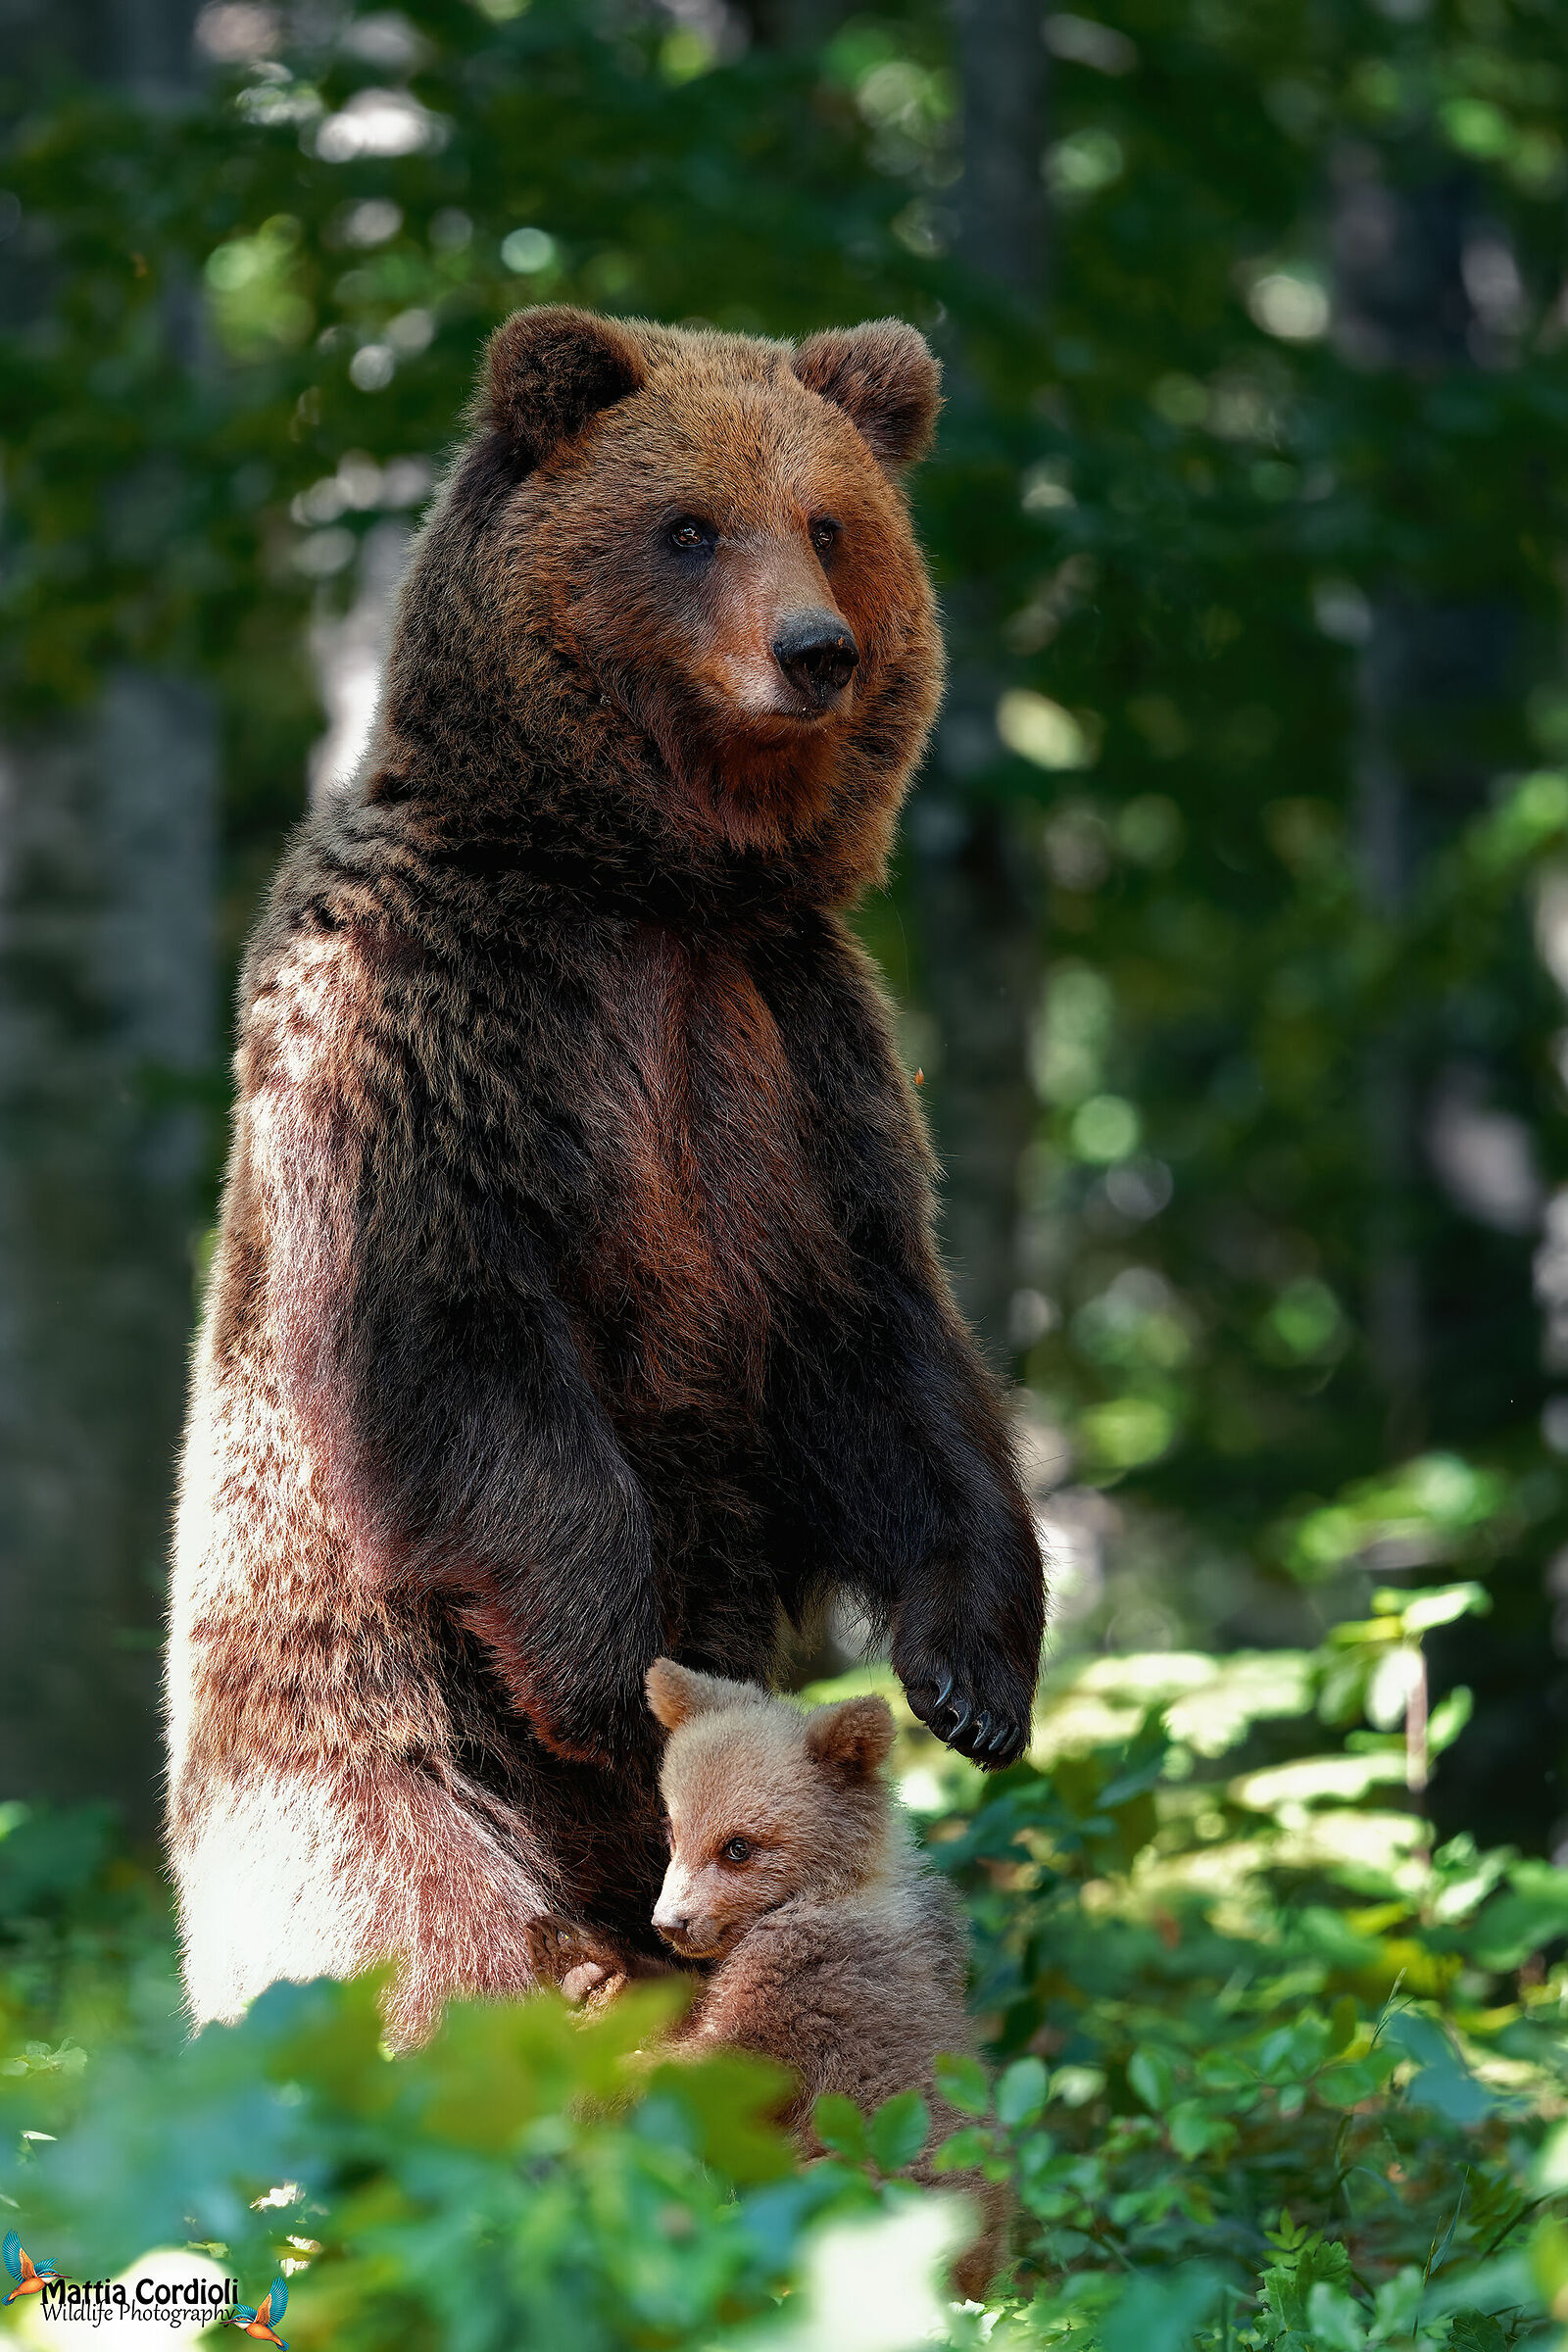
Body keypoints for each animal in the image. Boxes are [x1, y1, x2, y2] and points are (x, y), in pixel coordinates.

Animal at [165, 304, 1046, 2050]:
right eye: (688, 524)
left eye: (828, 522)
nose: (816, 650)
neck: (651, 883)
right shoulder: (447, 1017)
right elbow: (461, 1342)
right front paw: (602, 1669)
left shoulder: (794, 1051)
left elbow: (887, 1344)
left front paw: (973, 1674)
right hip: (354, 1727)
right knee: (406, 1933)